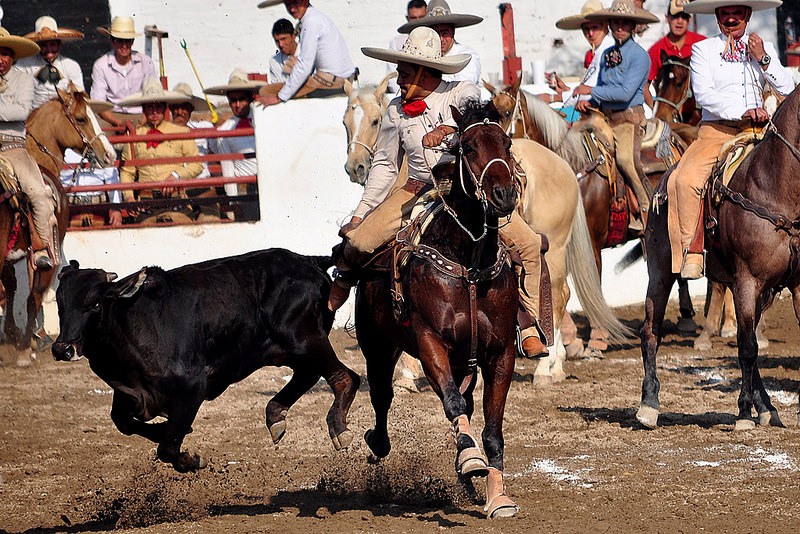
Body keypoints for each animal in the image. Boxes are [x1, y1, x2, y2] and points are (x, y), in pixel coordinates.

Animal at [3, 87, 114, 368]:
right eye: (82, 118)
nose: (110, 154)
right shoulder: (42, 252)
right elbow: (32, 296)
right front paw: (28, 342)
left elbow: (11, 288)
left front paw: (16, 335)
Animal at [50, 250, 360, 474]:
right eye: (60, 304)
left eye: (95, 303)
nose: (63, 348)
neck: (132, 323)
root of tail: (309, 261)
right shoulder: (132, 393)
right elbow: (124, 422)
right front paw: (165, 430)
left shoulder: (192, 388)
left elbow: (167, 448)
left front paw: (191, 459)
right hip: (290, 349)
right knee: (310, 375)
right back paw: (276, 416)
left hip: (303, 338)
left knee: (346, 377)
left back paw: (338, 429)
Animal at [354, 102, 520, 520]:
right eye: (467, 147)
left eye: (507, 142)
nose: (503, 193)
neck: (470, 263)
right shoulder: (430, 343)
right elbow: (451, 401)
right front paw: (471, 460)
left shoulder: (500, 353)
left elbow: (492, 430)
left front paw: (497, 496)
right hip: (377, 348)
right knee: (382, 397)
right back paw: (379, 442)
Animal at [636, 86, 800, 434]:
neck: (776, 191)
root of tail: (660, 184)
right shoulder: (746, 282)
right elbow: (747, 348)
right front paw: (743, 413)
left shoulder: (796, 285)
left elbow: (751, 346)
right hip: (660, 273)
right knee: (650, 331)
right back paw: (649, 404)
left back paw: (768, 409)